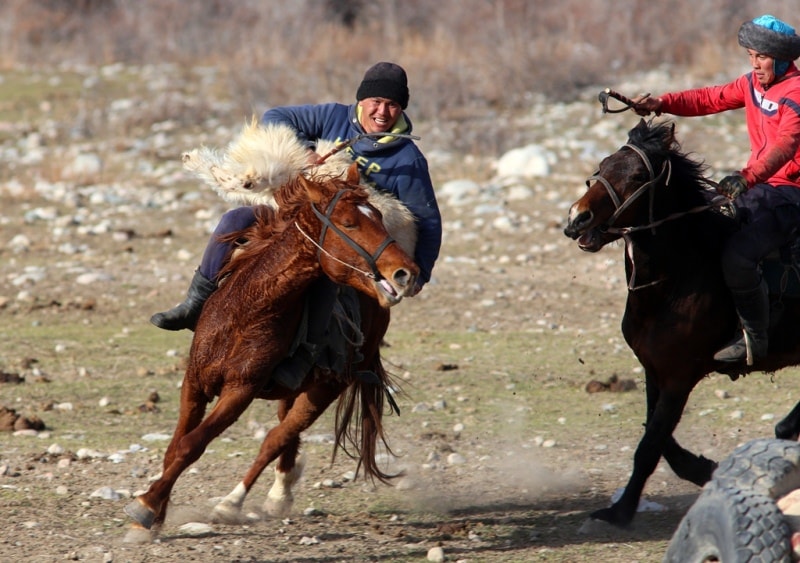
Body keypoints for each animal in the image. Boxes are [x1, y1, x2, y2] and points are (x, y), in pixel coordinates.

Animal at [123, 164, 418, 540]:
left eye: (379, 218)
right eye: (350, 223)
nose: (406, 273)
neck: (248, 307)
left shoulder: (240, 390)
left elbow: (193, 444)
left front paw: (146, 506)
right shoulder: (195, 382)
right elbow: (176, 446)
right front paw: (155, 513)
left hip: (326, 388)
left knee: (277, 438)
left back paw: (234, 502)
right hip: (294, 388)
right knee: (284, 435)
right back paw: (280, 492)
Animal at [564, 119, 800, 528]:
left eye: (638, 176)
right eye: (603, 164)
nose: (578, 218)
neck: (678, 278)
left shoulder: (678, 377)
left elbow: (649, 445)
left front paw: (619, 512)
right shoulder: (653, 371)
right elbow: (658, 438)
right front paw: (705, 468)